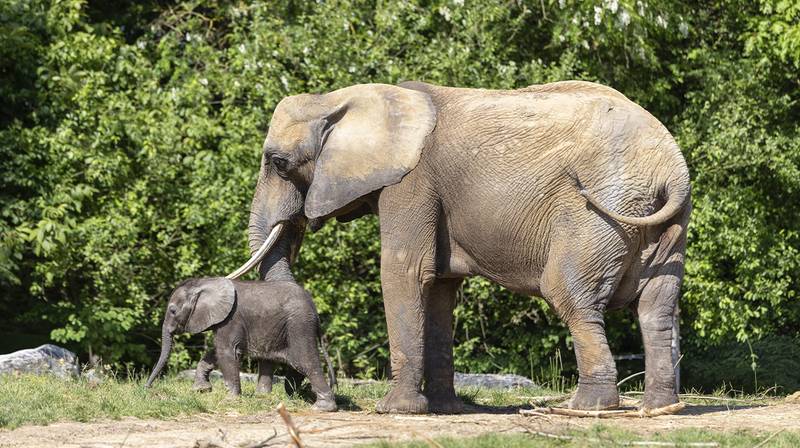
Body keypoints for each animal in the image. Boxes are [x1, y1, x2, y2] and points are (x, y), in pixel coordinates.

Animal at [145, 277, 337, 412]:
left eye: (172, 311)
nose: (147, 388)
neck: (205, 283)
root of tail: (315, 310)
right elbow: (214, 353)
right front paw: (201, 390)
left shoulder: (230, 319)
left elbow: (226, 352)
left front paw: (230, 400)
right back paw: (279, 397)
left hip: (299, 325)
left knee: (304, 361)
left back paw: (322, 408)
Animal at [227, 80, 691, 414]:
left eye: (278, 163)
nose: (280, 394)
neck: (344, 98)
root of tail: (673, 171)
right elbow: (439, 289)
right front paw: (445, 408)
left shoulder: (411, 184)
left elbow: (404, 272)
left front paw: (395, 411)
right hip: (666, 224)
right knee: (657, 306)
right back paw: (659, 409)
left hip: (599, 214)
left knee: (571, 295)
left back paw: (584, 408)